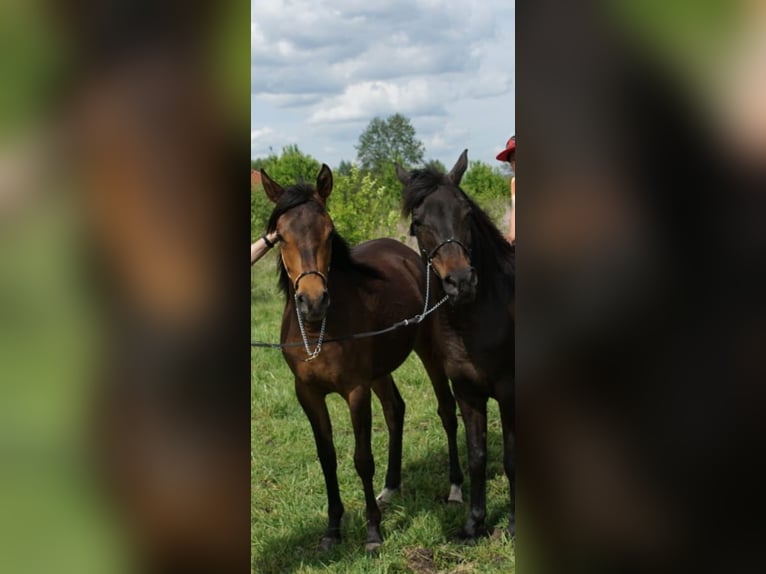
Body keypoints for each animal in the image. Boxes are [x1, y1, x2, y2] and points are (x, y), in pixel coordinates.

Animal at [260, 164, 462, 552]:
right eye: (280, 237)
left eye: (328, 232)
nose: (313, 300)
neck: (319, 331)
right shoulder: (307, 393)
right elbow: (327, 458)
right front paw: (332, 530)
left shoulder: (355, 390)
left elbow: (362, 459)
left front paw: (372, 531)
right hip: (379, 370)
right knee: (395, 410)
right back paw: (391, 487)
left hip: (427, 350)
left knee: (446, 410)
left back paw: (456, 488)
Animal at [396, 152, 516, 540]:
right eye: (418, 222)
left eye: (466, 213)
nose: (461, 282)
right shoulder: (467, 391)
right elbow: (476, 455)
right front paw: (474, 523)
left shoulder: (509, 392)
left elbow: (510, 458)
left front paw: (513, 524)